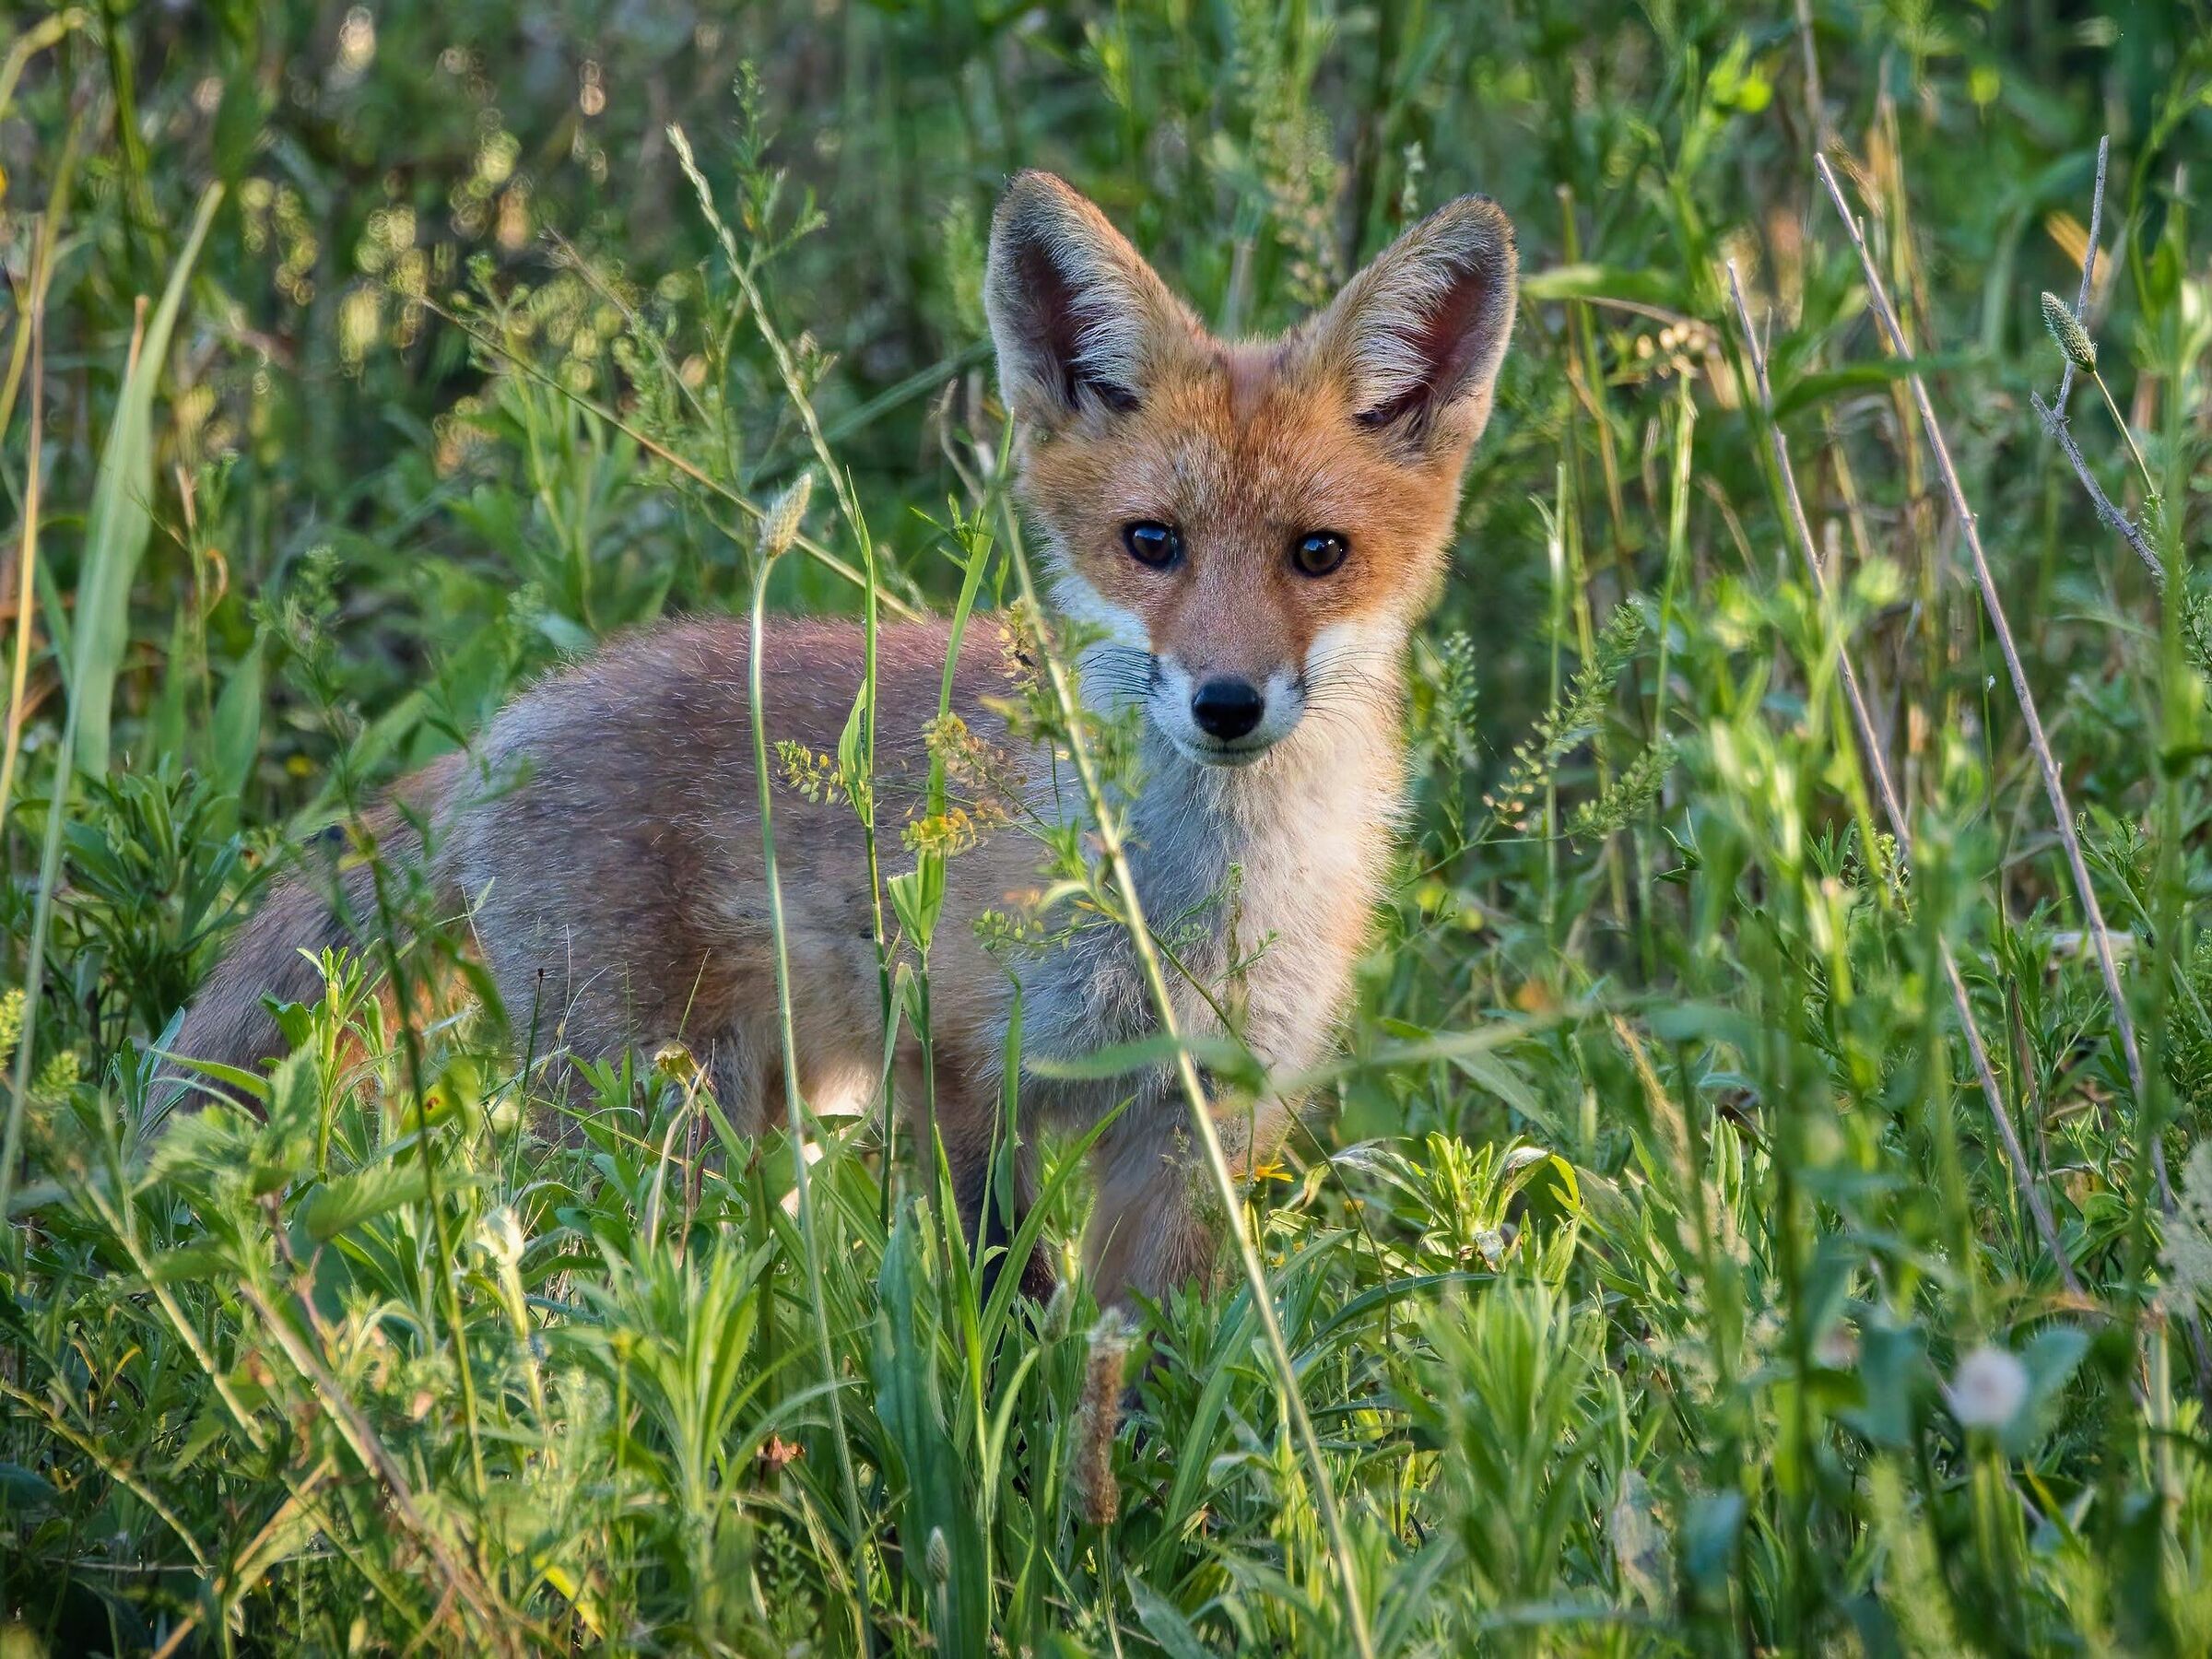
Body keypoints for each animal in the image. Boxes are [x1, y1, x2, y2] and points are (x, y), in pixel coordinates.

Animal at [171, 171, 1516, 1309]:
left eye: (1318, 553)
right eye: (1153, 544)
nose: (1227, 702)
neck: (1184, 908)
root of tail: (512, 721)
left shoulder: (1199, 1120)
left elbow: (1144, 1351)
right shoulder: (958, 1073)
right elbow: (1006, 1302)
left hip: (774, 1105)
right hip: (656, 1113)